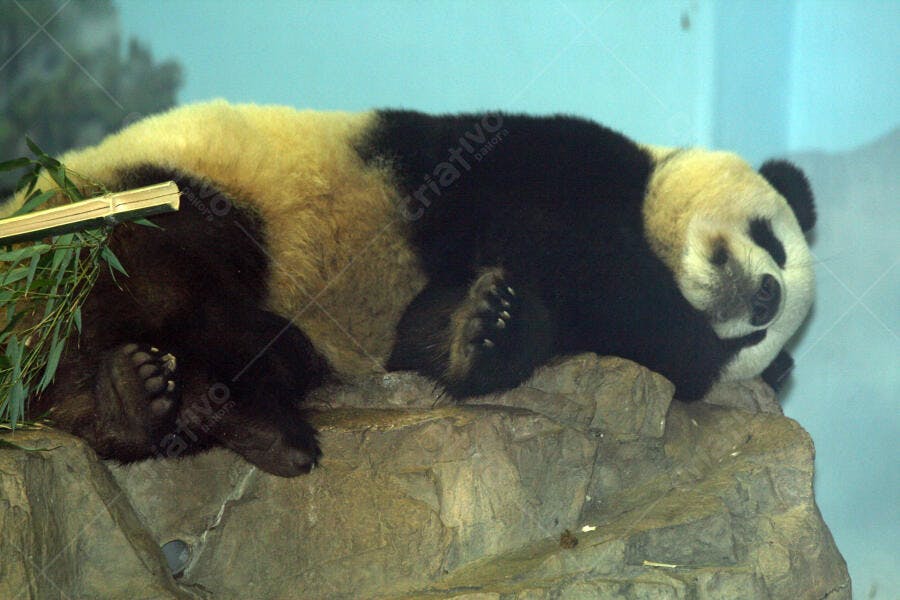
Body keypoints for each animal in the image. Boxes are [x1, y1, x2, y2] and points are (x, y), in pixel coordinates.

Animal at [5, 101, 816, 476]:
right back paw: (154, 398)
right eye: (774, 240)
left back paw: (196, 415)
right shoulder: (547, 157)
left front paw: (485, 330)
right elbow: (552, 238)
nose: (766, 299)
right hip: (167, 195)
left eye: (756, 337)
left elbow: (426, 333)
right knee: (161, 281)